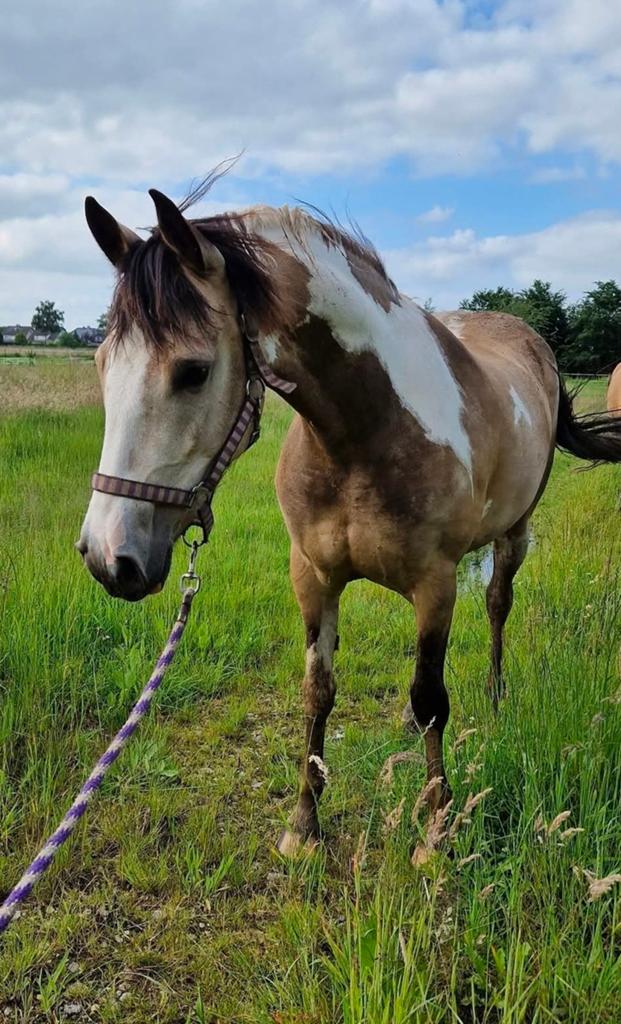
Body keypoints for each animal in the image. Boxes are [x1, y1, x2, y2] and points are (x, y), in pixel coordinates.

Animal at [77, 180, 621, 854]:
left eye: (193, 371)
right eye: (102, 363)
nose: (109, 556)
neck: (366, 431)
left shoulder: (437, 585)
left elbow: (432, 696)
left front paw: (435, 829)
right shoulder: (313, 576)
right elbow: (320, 691)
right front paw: (303, 825)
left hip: (515, 532)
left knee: (497, 604)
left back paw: (496, 698)